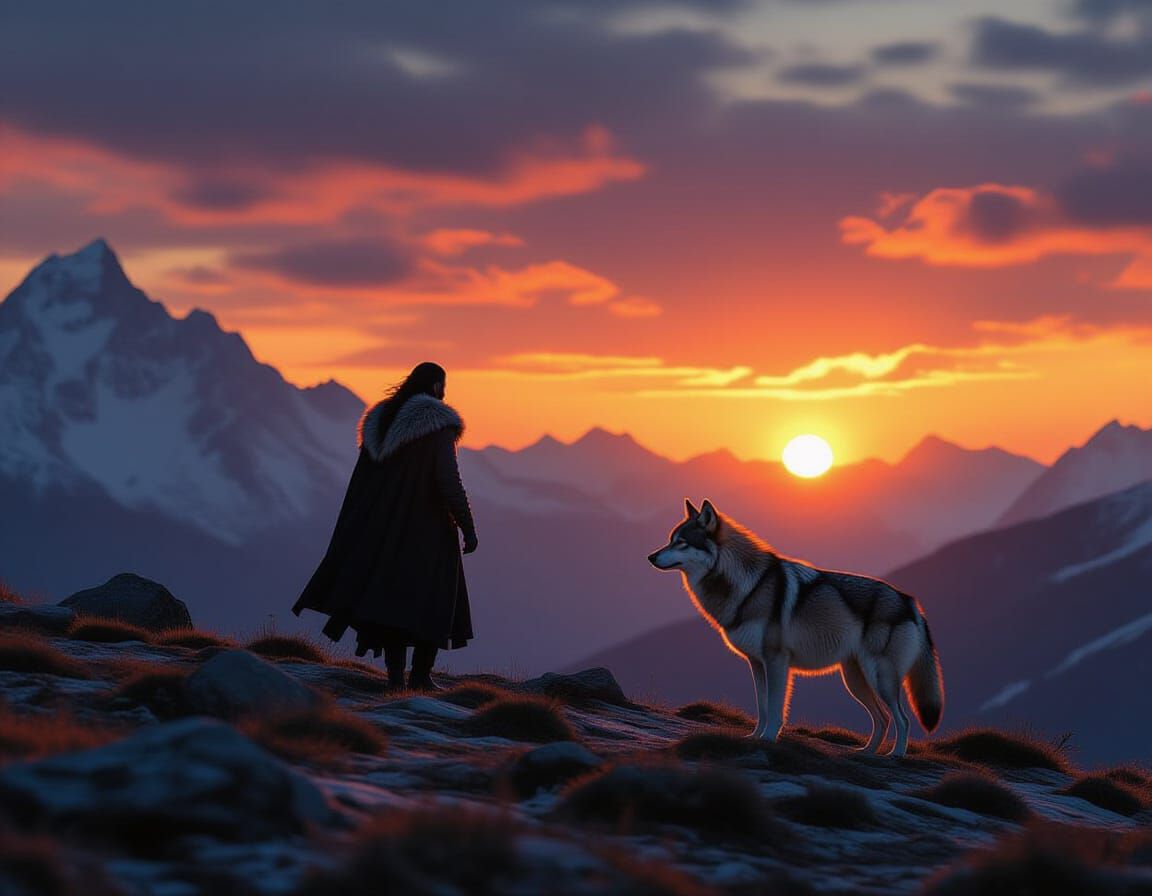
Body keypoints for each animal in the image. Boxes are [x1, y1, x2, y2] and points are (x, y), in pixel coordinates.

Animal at [647, 499, 943, 757]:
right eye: (670, 539)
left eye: (681, 542)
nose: (650, 556)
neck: (748, 586)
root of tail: (910, 602)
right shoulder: (757, 663)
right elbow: (762, 706)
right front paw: (755, 737)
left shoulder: (777, 661)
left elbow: (776, 708)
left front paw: (768, 739)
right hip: (855, 680)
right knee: (882, 719)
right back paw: (866, 753)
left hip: (880, 678)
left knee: (903, 719)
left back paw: (896, 755)